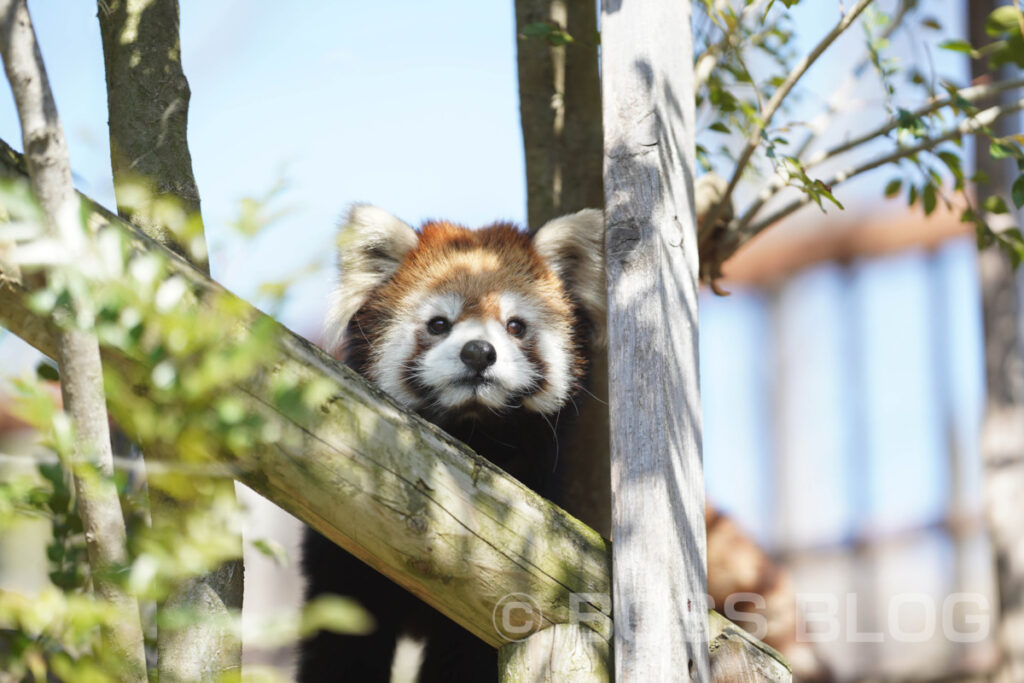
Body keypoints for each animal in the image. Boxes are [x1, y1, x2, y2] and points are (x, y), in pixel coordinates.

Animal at [303, 204, 606, 683]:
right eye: (438, 324)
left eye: (515, 326)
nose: (478, 352)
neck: (471, 433)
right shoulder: (343, 549)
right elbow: (342, 638)